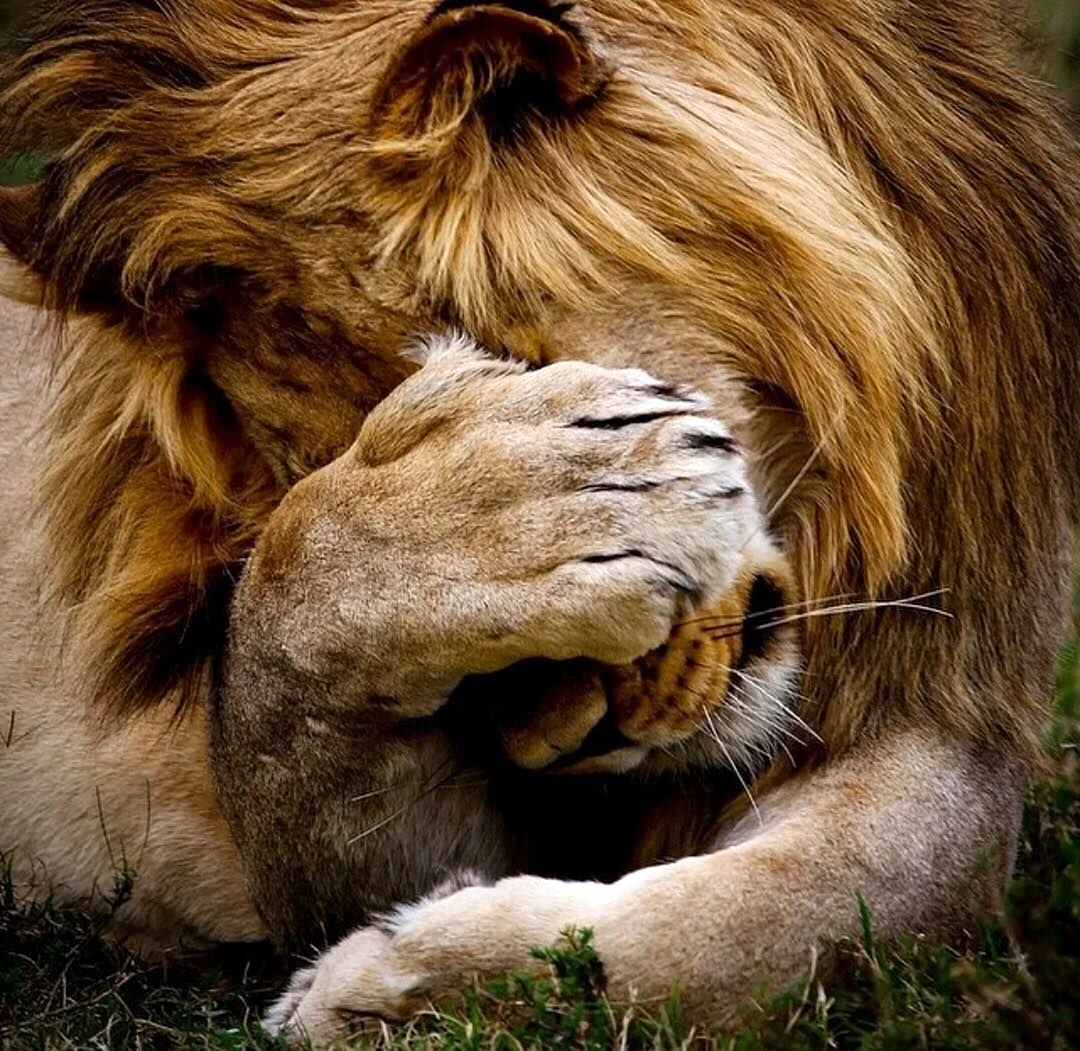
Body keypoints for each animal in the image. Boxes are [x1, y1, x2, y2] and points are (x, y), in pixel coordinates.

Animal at [0, 0, 1077, 1044]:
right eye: (364, 452)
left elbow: (779, 921)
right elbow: (293, 601)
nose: (558, 748)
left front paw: (401, 986)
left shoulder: (950, 706)